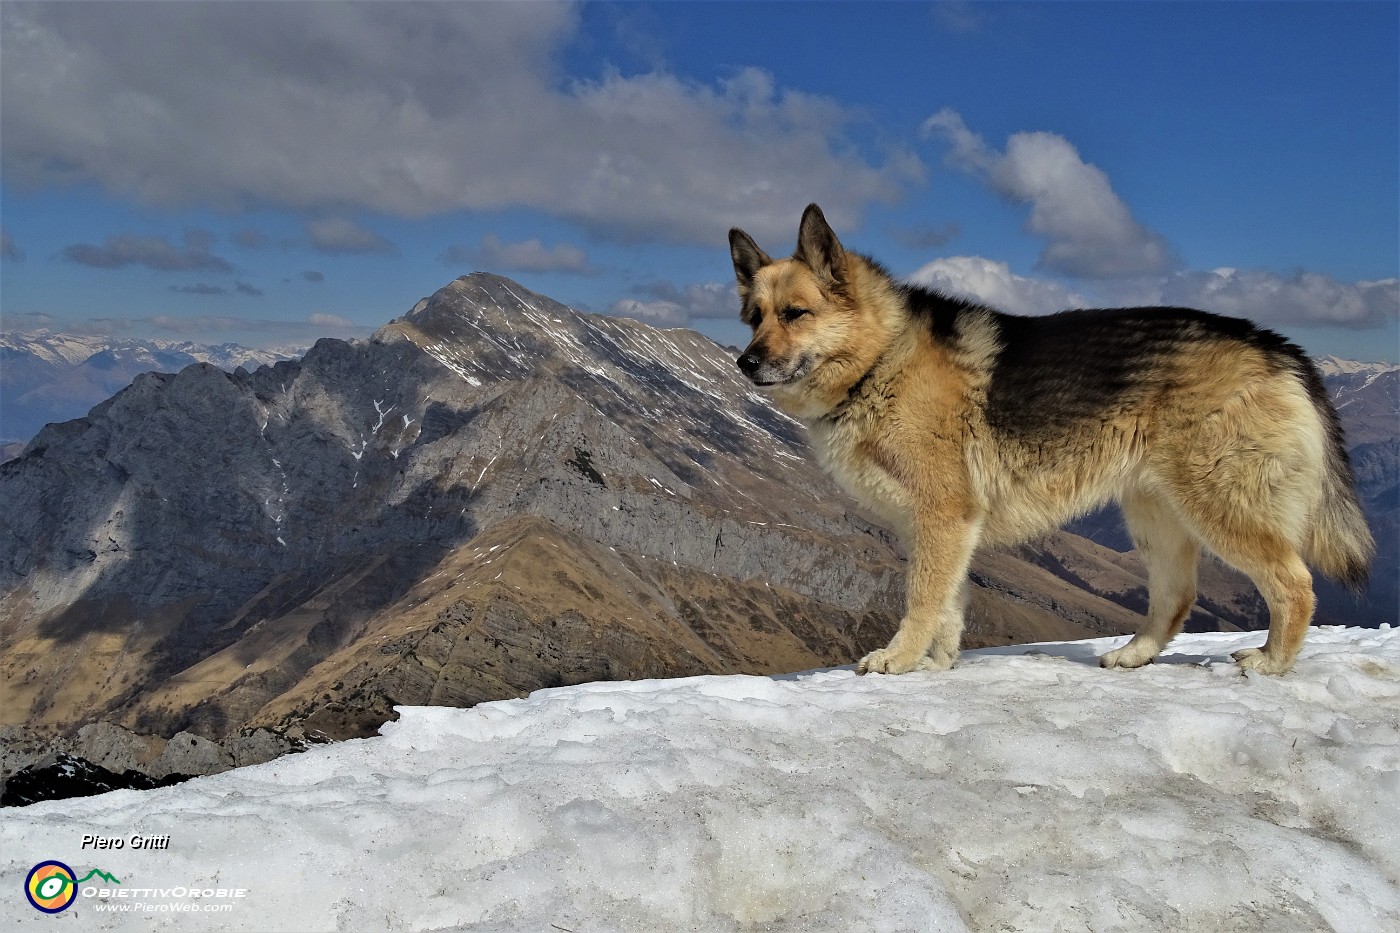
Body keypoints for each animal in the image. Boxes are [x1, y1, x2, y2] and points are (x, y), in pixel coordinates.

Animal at [733, 203, 1377, 672]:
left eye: (795, 313)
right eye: (754, 317)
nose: (744, 362)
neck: (880, 359)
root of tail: (1278, 346)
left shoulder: (943, 518)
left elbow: (922, 599)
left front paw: (900, 659)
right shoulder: (943, 528)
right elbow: (948, 605)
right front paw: (937, 666)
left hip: (1218, 506)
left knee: (1295, 584)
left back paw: (1271, 662)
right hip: (1155, 515)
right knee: (1177, 597)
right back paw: (1133, 656)